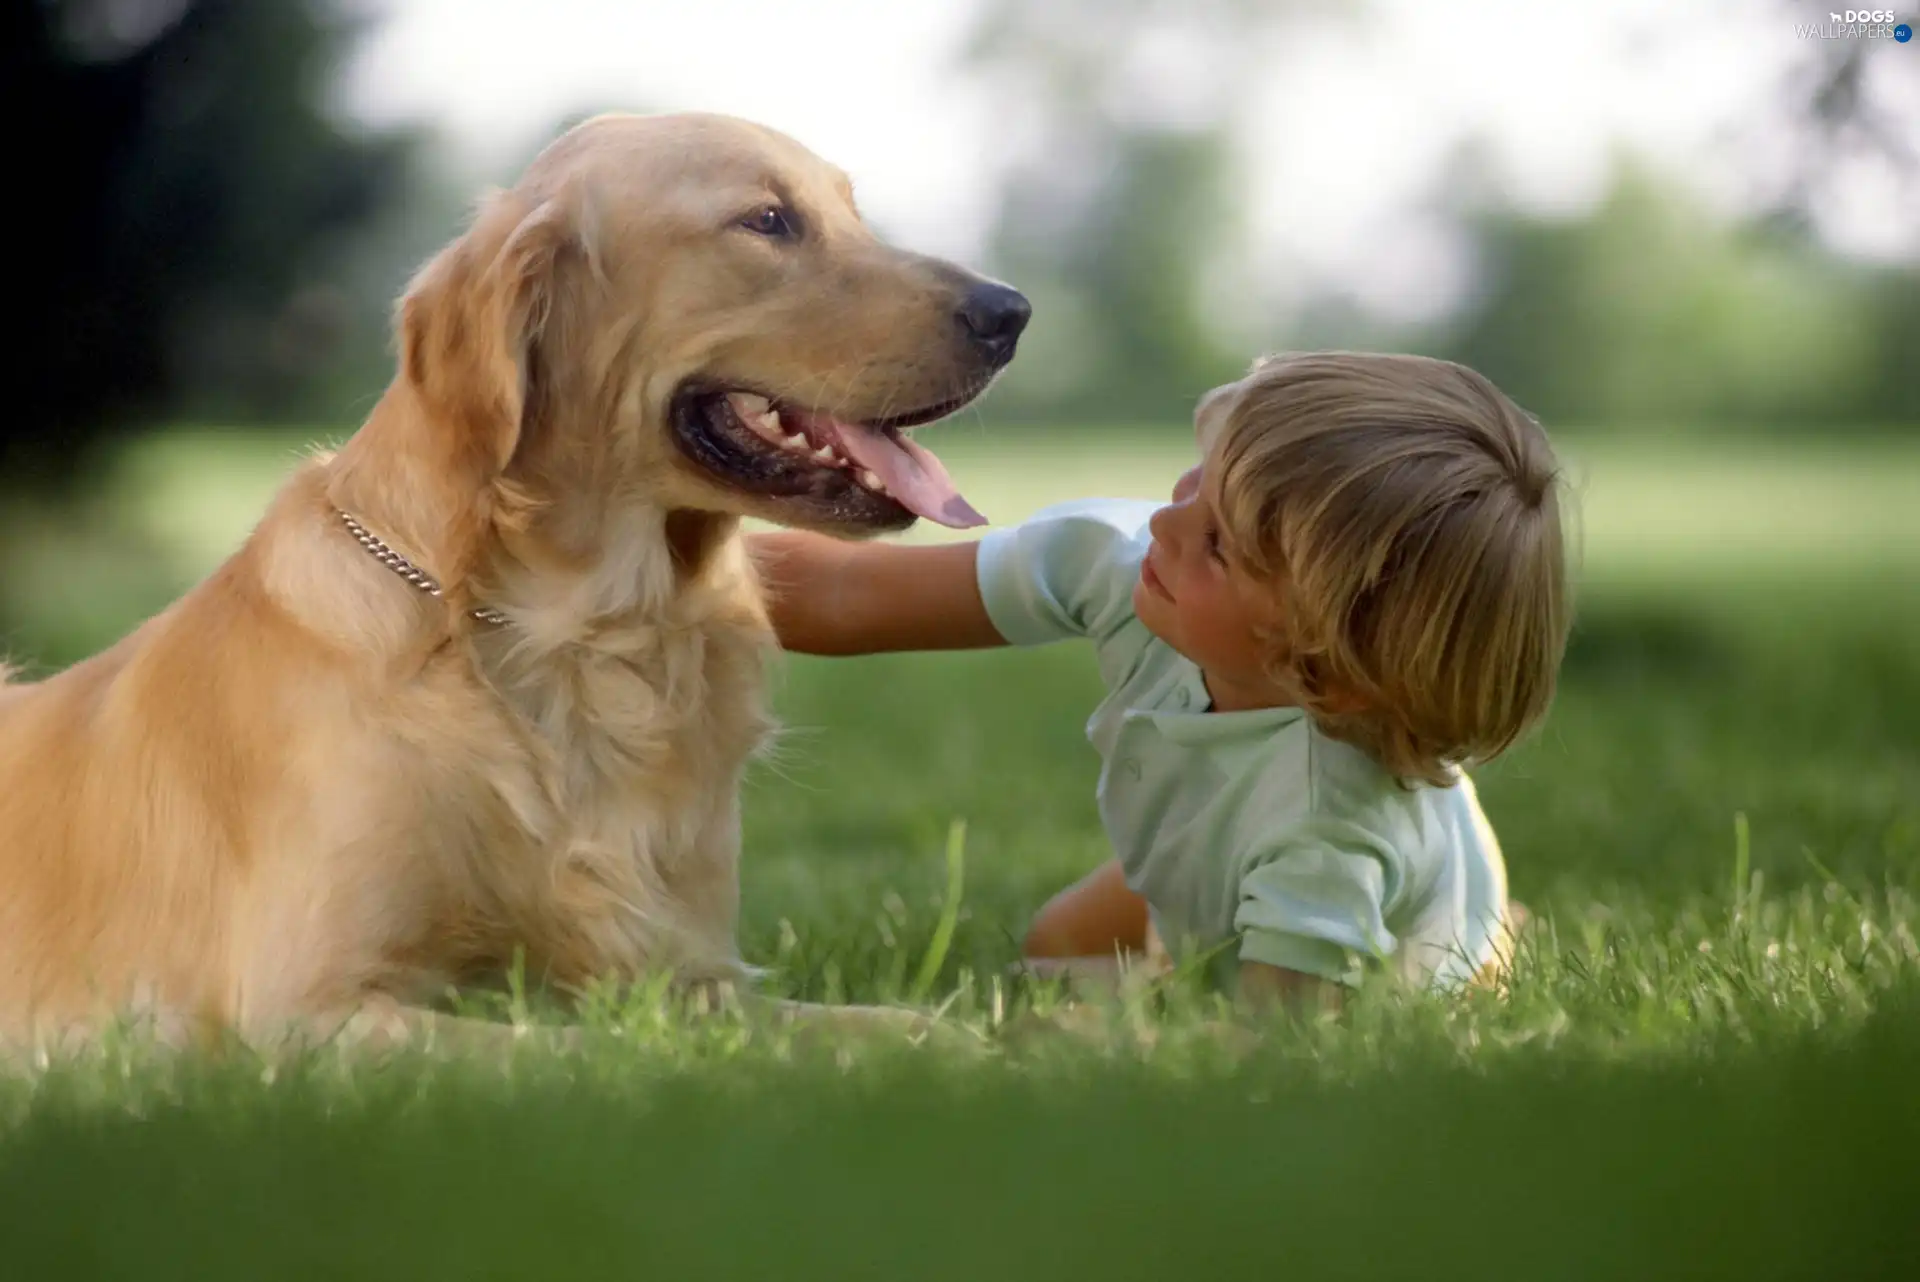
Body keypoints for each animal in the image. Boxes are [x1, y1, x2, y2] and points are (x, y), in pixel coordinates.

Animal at [0, 112, 1029, 1051]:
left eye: (851, 213)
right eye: (768, 221)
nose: (1010, 312)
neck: (582, 637)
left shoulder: (698, 971)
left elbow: (892, 1026)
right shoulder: (302, 1008)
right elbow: (578, 1044)